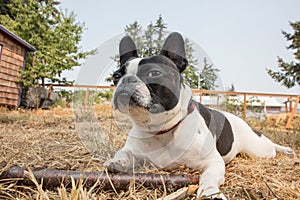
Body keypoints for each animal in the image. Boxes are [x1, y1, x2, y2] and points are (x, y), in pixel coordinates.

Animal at [104, 32, 294, 199]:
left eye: (154, 73)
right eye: (116, 76)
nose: (126, 80)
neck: (161, 129)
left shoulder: (213, 162)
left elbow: (208, 178)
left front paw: (210, 193)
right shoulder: (132, 150)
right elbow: (123, 153)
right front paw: (117, 163)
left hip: (259, 149)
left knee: (270, 145)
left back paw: (285, 149)